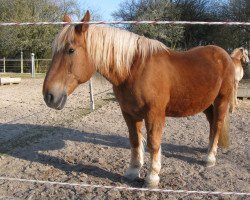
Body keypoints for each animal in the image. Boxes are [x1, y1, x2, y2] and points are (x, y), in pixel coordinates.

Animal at [43, 11, 236, 188]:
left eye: (71, 50)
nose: (49, 96)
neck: (134, 69)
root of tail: (224, 55)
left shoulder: (154, 114)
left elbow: (153, 143)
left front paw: (152, 177)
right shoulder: (129, 113)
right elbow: (135, 140)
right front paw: (133, 171)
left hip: (221, 100)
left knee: (217, 125)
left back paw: (210, 158)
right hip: (206, 104)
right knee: (212, 124)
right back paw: (208, 150)